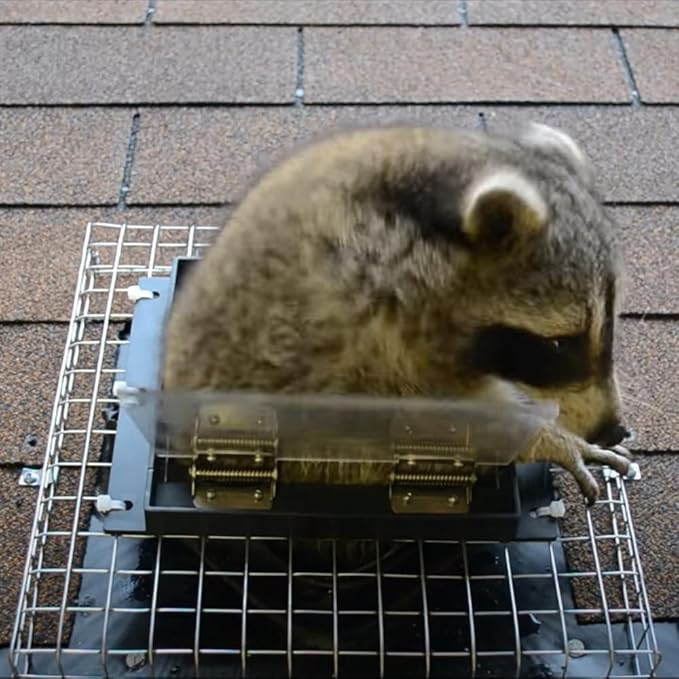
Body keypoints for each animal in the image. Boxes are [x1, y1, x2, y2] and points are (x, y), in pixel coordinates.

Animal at [162, 122, 632, 504]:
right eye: (558, 343)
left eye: (610, 325)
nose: (612, 428)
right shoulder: (371, 332)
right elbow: (443, 422)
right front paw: (548, 438)